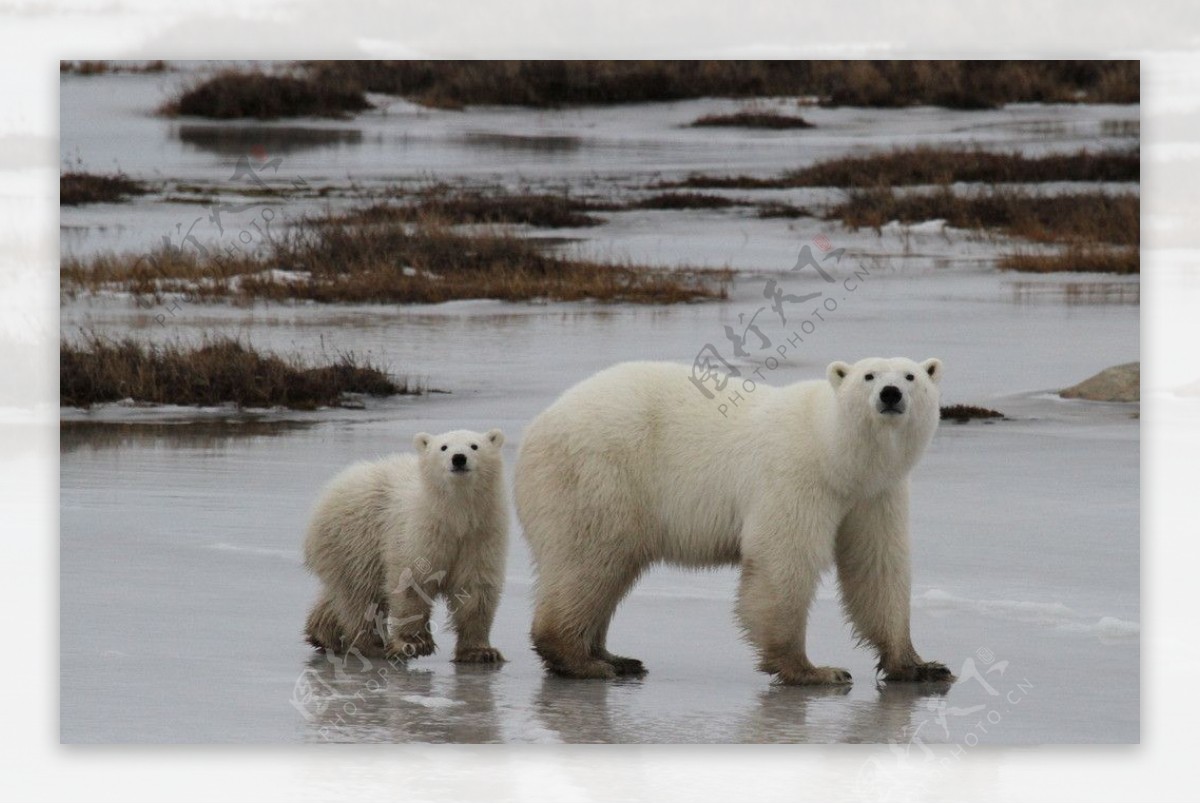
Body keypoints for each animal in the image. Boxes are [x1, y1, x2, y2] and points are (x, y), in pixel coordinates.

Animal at [516, 360, 955, 686]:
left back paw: (616, 657)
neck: (835, 451)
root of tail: (539, 424)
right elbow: (783, 561)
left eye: (911, 376)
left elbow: (877, 566)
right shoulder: (796, 476)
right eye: (869, 375)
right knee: (590, 558)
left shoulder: (876, 495)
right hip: (600, 473)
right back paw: (583, 661)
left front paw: (919, 666)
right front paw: (814, 670)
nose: (890, 394)